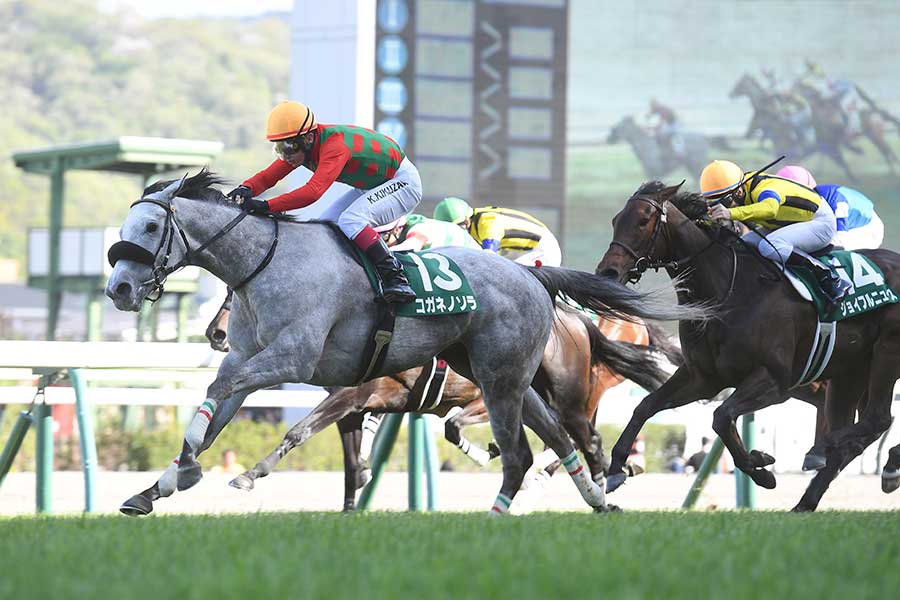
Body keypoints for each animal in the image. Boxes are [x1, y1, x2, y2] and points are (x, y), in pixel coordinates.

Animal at [229, 309, 678, 511]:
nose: (219, 335)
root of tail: (579, 320)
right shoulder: (355, 406)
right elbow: (348, 460)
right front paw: (349, 507)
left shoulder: (352, 398)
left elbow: (300, 431)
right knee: (575, 441)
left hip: (567, 400)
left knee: (587, 440)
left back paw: (601, 487)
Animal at [595, 180, 900, 511]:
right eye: (615, 220)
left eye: (642, 221)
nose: (607, 272)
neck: (727, 290)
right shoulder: (703, 378)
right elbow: (646, 406)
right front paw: (616, 469)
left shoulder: (774, 381)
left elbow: (721, 417)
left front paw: (760, 468)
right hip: (851, 371)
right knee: (859, 432)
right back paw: (811, 496)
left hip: (886, 352)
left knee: (876, 419)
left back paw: (836, 452)